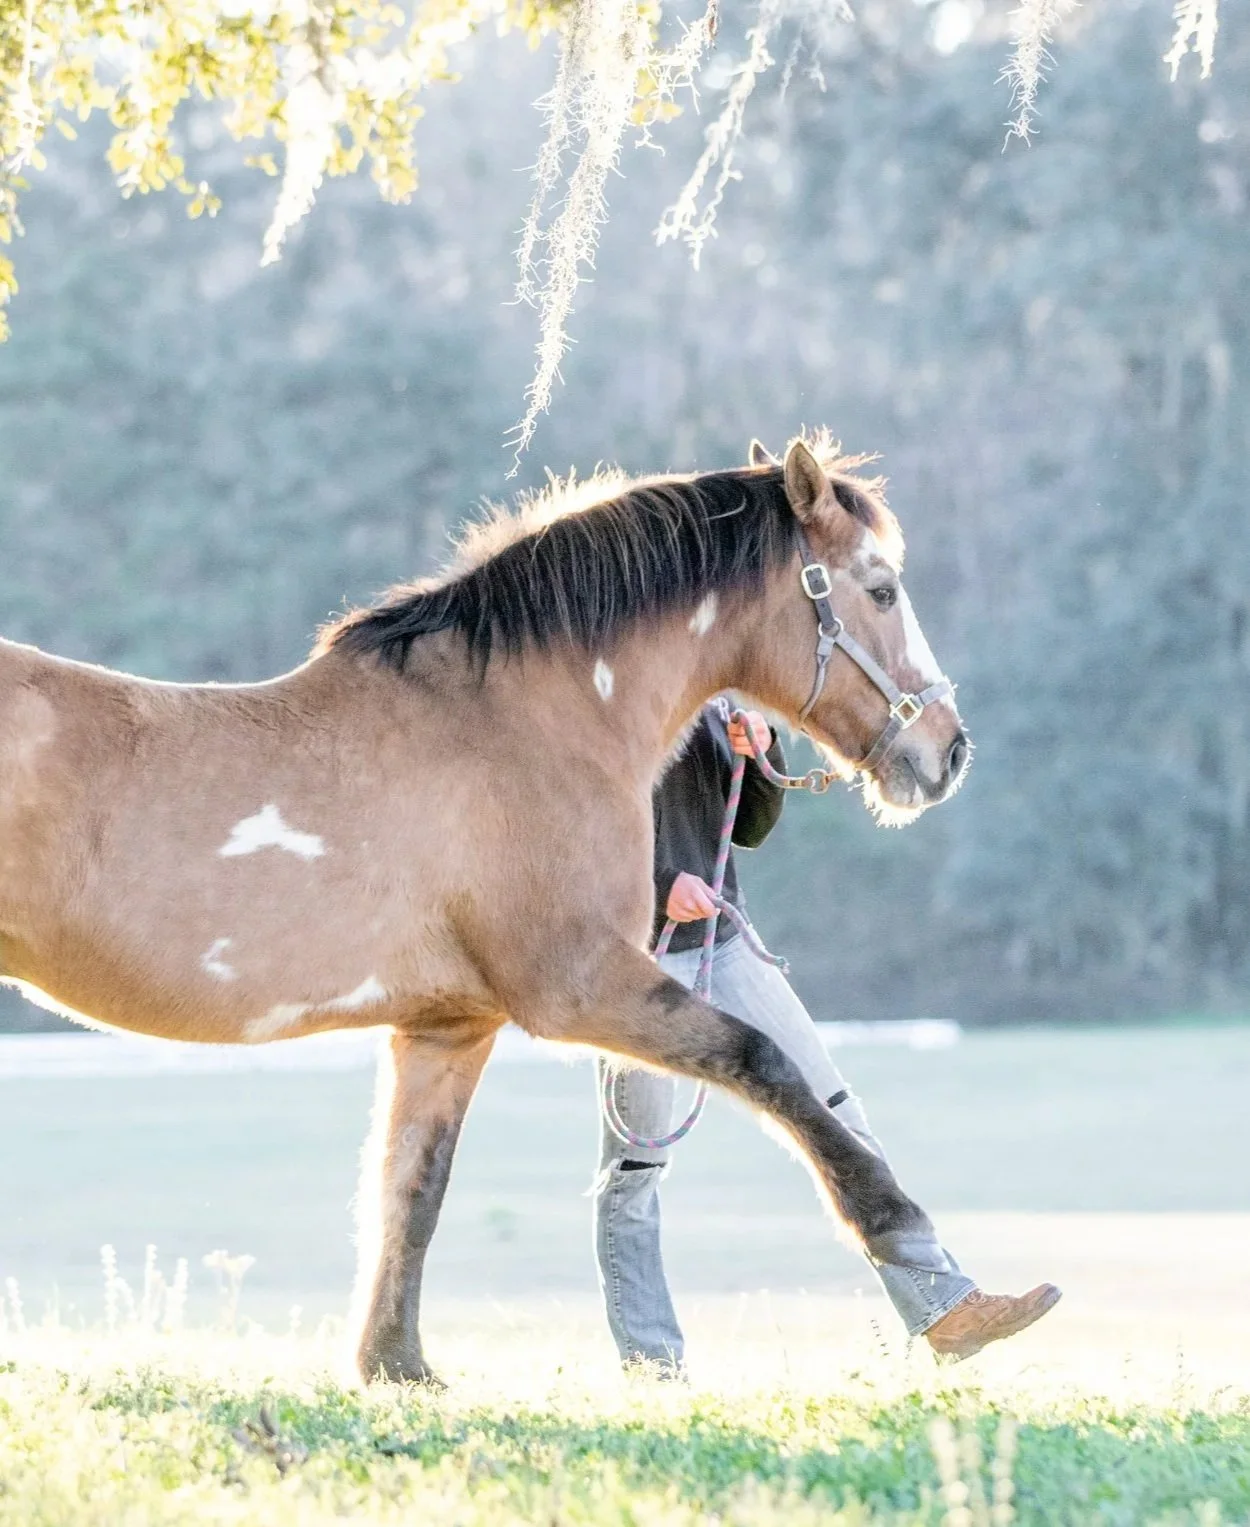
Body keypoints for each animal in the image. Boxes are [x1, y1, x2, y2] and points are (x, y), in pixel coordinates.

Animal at [0, 435, 969, 1382]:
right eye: (880, 587)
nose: (948, 752)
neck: (529, 724)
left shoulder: (448, 1026)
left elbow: (410, 1186)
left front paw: (395, 1366)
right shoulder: (579, 985)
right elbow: (763, 1058)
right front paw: (899, 1226)